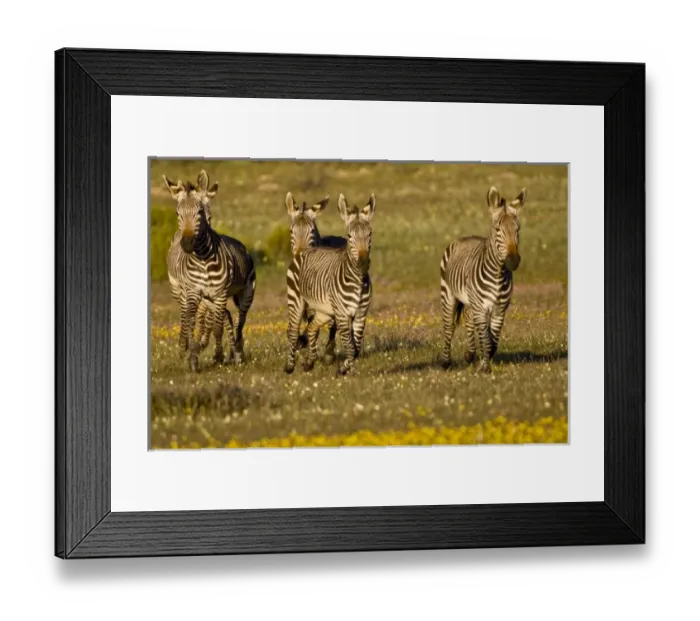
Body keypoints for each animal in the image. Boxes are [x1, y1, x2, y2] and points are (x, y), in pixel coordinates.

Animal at [163, 169, 256, 372]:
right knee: (192, 317)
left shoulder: (219, 294)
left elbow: (217, 327)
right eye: (177, 213)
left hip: (246, 293)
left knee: (239, 321)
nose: (187, 244)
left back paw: (237, 353)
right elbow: (191, 321)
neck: (203, 259)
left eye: (200, 212)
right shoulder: (192, 292)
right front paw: (192, 357)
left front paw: (218, 356)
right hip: (181, 291)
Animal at [285, 193, 375, 376]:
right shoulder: (341, 313)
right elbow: (350, 346)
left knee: (313, 328)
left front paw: (344, 366)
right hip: (297, 303)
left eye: (370, 234)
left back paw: (315, 359)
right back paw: (291, 365)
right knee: (293, 330)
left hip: (324, 310)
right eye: (291, 231)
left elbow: (354, 348)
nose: (363, 263)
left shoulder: (360, 314)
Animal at [439, 186, 527, 374]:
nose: (513, 260)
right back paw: (446, 362)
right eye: (498, 229)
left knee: (468, 318)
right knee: (449, 326)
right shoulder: (481, 307)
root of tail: (466, 236)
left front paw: (483, 361)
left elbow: (492, 342)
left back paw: (469, 354)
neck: (498, 274)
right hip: (448, 294)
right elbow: (486, 340)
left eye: (518, 229)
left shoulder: (500, 310)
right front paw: (485, 368)